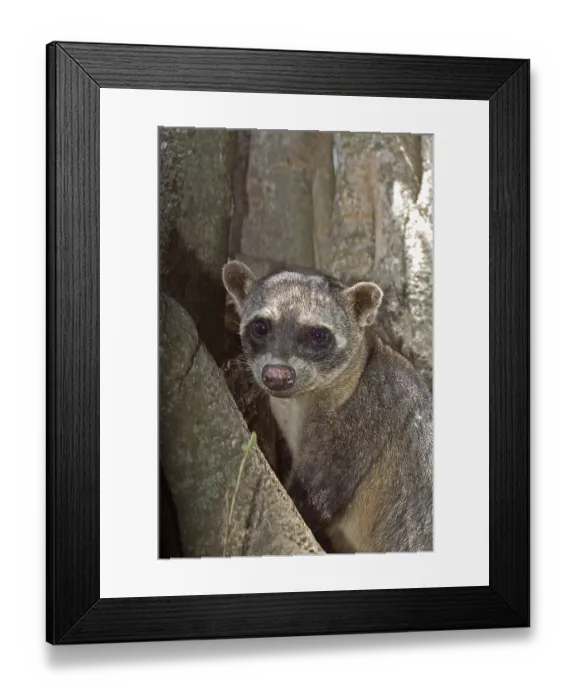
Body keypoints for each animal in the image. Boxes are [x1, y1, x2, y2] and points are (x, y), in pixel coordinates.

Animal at [222, 260, 433, 554]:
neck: (300, 404)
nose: (277, 375)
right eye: (261, 327)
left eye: (318, 335)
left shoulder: (361, 423)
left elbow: (312, 499)